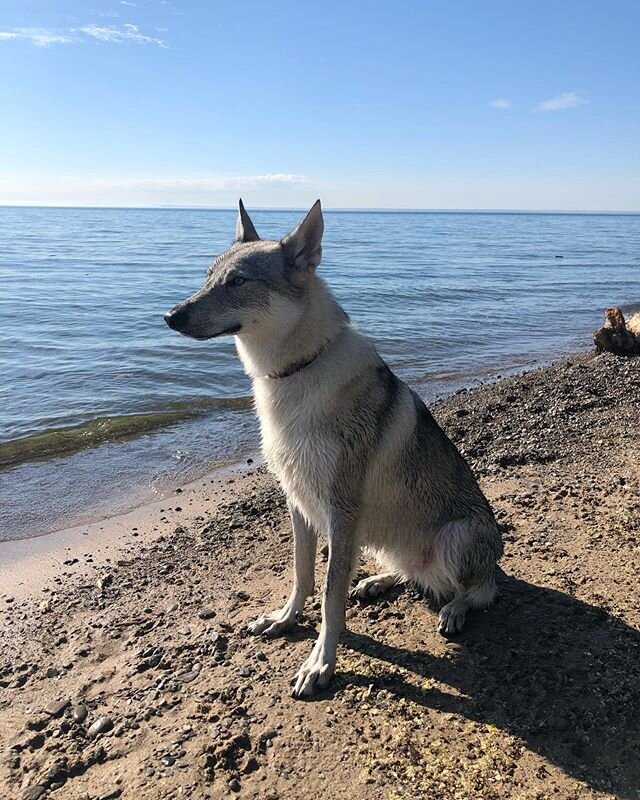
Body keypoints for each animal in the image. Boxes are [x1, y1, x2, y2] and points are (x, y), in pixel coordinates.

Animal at [166, 203, 504, 696]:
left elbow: (329, 595)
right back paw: (378, 582)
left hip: (455, 537)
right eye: (208, 276)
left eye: (238, 282)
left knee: (482, 590)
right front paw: (285, 619)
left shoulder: (340, 511)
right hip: (385, 537)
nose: (170, 316)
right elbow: (302, 574)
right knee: (413, 573)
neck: (294, 374)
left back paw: (454, 609)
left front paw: (320, 664)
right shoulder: (298, 501)